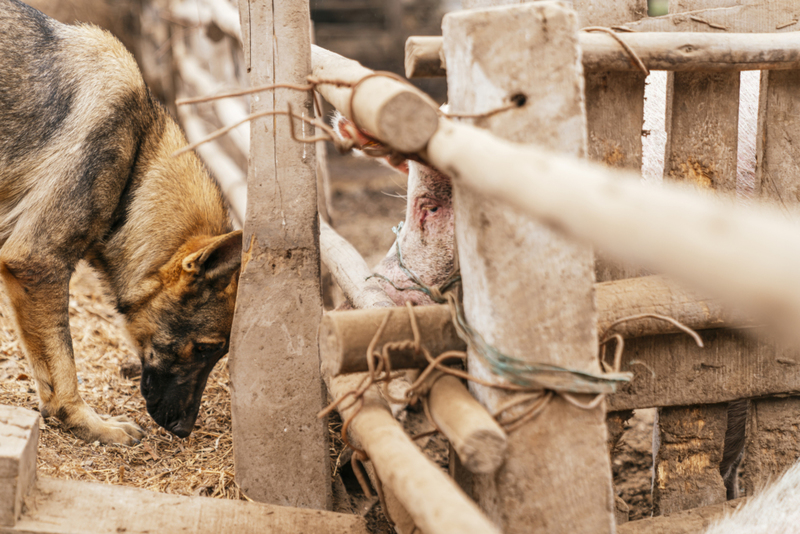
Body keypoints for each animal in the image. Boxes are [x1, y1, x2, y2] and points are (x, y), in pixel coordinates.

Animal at [1, 0, 242, 446]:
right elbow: (63, 368)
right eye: (205, 348)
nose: (183, 429)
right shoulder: (37, 263)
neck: (137, 165)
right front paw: (88, 423)